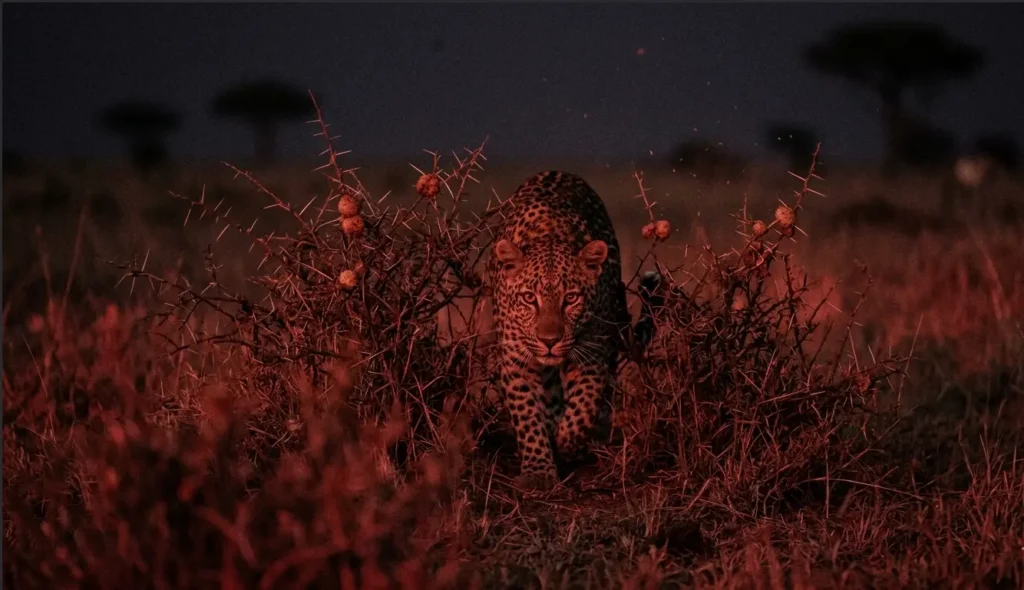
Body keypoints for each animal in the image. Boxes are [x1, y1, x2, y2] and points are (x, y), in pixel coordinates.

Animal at [488, 170, 658, 490]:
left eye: (571, 299)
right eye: (529, 298)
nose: (549, 341)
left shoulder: (593, 352)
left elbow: (583, 406)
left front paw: (566, 442)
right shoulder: (517, 360)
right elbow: (527, 414)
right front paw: (538, 471)